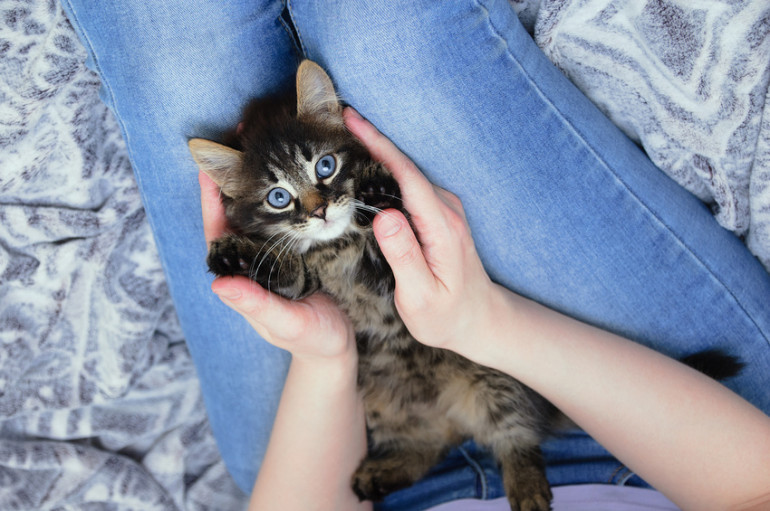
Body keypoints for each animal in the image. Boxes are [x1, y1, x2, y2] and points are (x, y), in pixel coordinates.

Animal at [188, 61, 556, 511]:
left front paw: (378, 188)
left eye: (325, 166)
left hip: (495, 378)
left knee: (515, 437)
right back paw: (382, 473)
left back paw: (528, 488)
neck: (338, 244)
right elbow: (287, 271)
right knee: (429, 445)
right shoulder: (307, 279)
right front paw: (235, 252)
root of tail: (450, 411)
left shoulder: (400, 274)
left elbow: (394, 226)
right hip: (388, 408)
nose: (320, 211)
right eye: (278, 197)